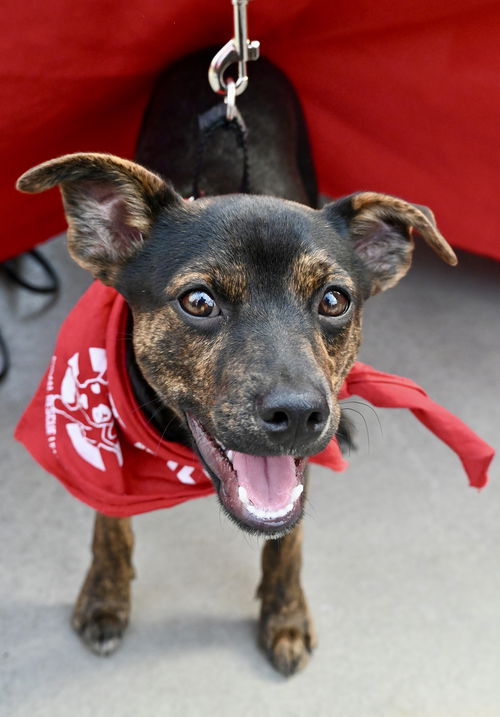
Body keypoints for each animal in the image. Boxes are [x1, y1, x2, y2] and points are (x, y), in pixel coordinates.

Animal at [16, 47, 458, 676]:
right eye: (199, 301)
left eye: (334, 300)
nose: (300, 415)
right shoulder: (101, 451)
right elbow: (110, 522)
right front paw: (105, 598)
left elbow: (287, 543)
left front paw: (286, 617)